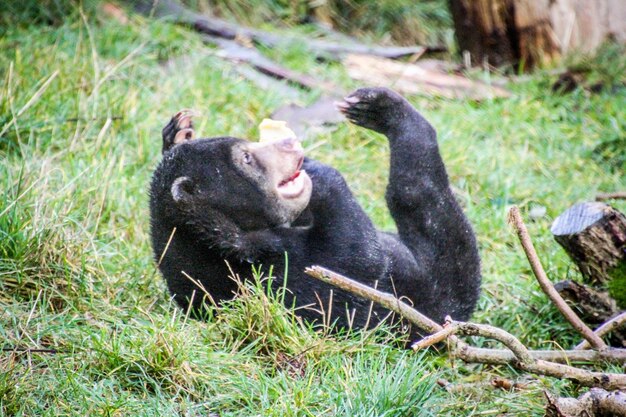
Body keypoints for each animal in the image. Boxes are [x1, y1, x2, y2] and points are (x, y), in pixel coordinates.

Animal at [149, 87, 480, 328]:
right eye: (246, 158)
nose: (291, 144)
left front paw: (179, 132)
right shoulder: (284, 272)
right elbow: (360, 257)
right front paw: (317, 171)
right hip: (444, 284)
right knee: (420, 194)